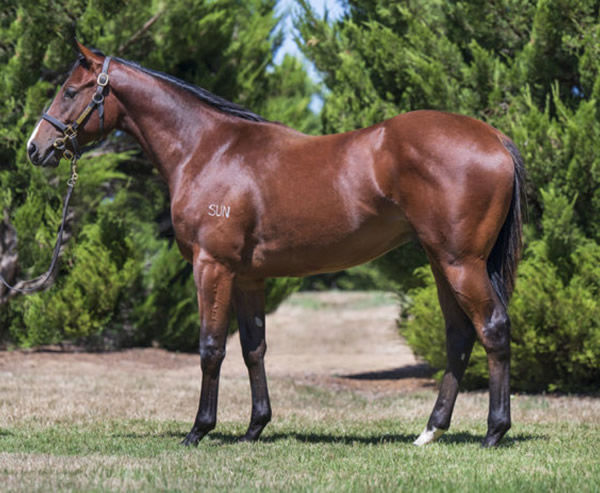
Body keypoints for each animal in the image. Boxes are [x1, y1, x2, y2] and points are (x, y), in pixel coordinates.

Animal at [25, 43, 524, 446]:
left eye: (70, 91)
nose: (35, 147)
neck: (208, 150)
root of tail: (495, 137)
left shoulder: (212, 266)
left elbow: (211, 347)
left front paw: (198, 430)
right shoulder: (248, 277)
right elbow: (253, 348)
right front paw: (254, 427)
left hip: (461, 262)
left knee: (493, 328)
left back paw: (494, 432)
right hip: (442, 261)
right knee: (459, 336)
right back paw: (429, 431)